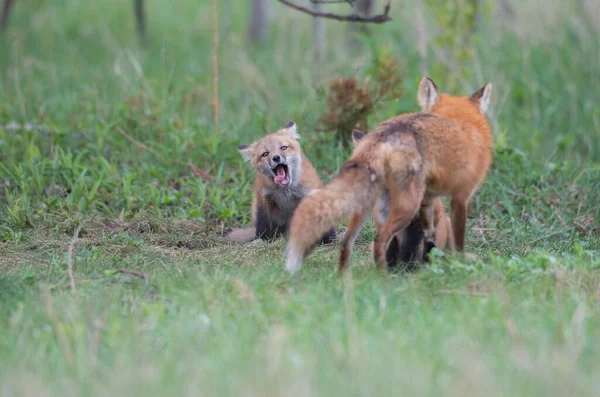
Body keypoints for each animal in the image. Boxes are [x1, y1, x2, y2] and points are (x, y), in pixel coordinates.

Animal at [286, 78, 492, 274]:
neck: (462, 123)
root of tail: (382, 135)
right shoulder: (461, 196)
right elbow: (458, 242)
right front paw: (459, 265)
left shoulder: (428, 200)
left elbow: (429, 236)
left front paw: (430, 262)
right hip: (406, 206)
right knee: (380, 240)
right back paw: (382, 276)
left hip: (370, 207)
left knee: (347, 243)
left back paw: (345, 278)